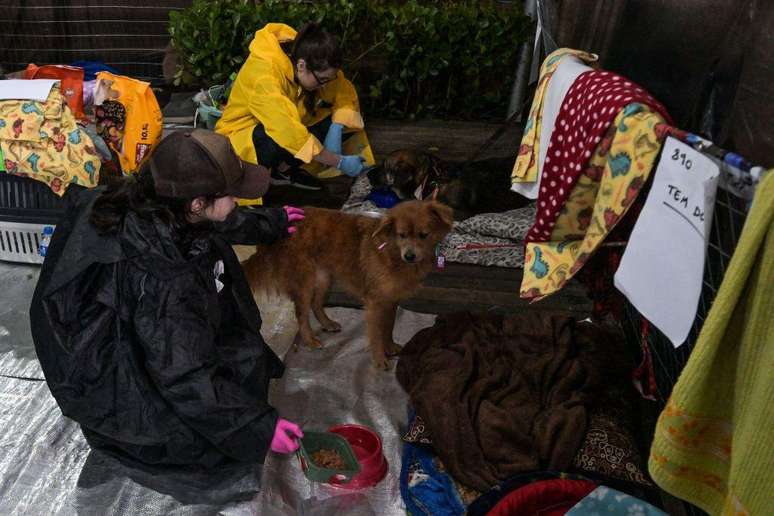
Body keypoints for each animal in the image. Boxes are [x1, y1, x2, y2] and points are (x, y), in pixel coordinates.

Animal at [244, 200, 454, 368]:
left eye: (423, 235)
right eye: (401, 235)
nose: (409, 256)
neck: (391, 252)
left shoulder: (391, 300)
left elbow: (389, 327)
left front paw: (390, 347)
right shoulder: (375, 303)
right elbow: (377, 333)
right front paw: (380, 360)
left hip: (323, 278)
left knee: (316, 304)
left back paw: (327, 323)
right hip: (304, 281)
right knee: (302, 314)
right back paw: (310, 340)